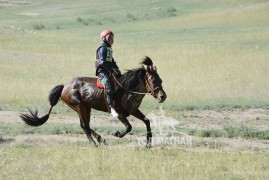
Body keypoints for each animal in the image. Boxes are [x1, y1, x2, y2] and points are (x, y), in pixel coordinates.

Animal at [21, 56, 166, 148]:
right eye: (153, 80)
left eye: (161, 79)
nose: (163, 96)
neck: (127, 90)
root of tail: (65, 86)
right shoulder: (119, 113)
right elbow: (129, 127)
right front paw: (117, 134)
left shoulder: (134, 110)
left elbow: (147, 121)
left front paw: (148, 143)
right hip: (79, 106)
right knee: (85, 126)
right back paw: (99, 140)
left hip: (86, 108)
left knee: (84, 126)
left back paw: (96, 142)